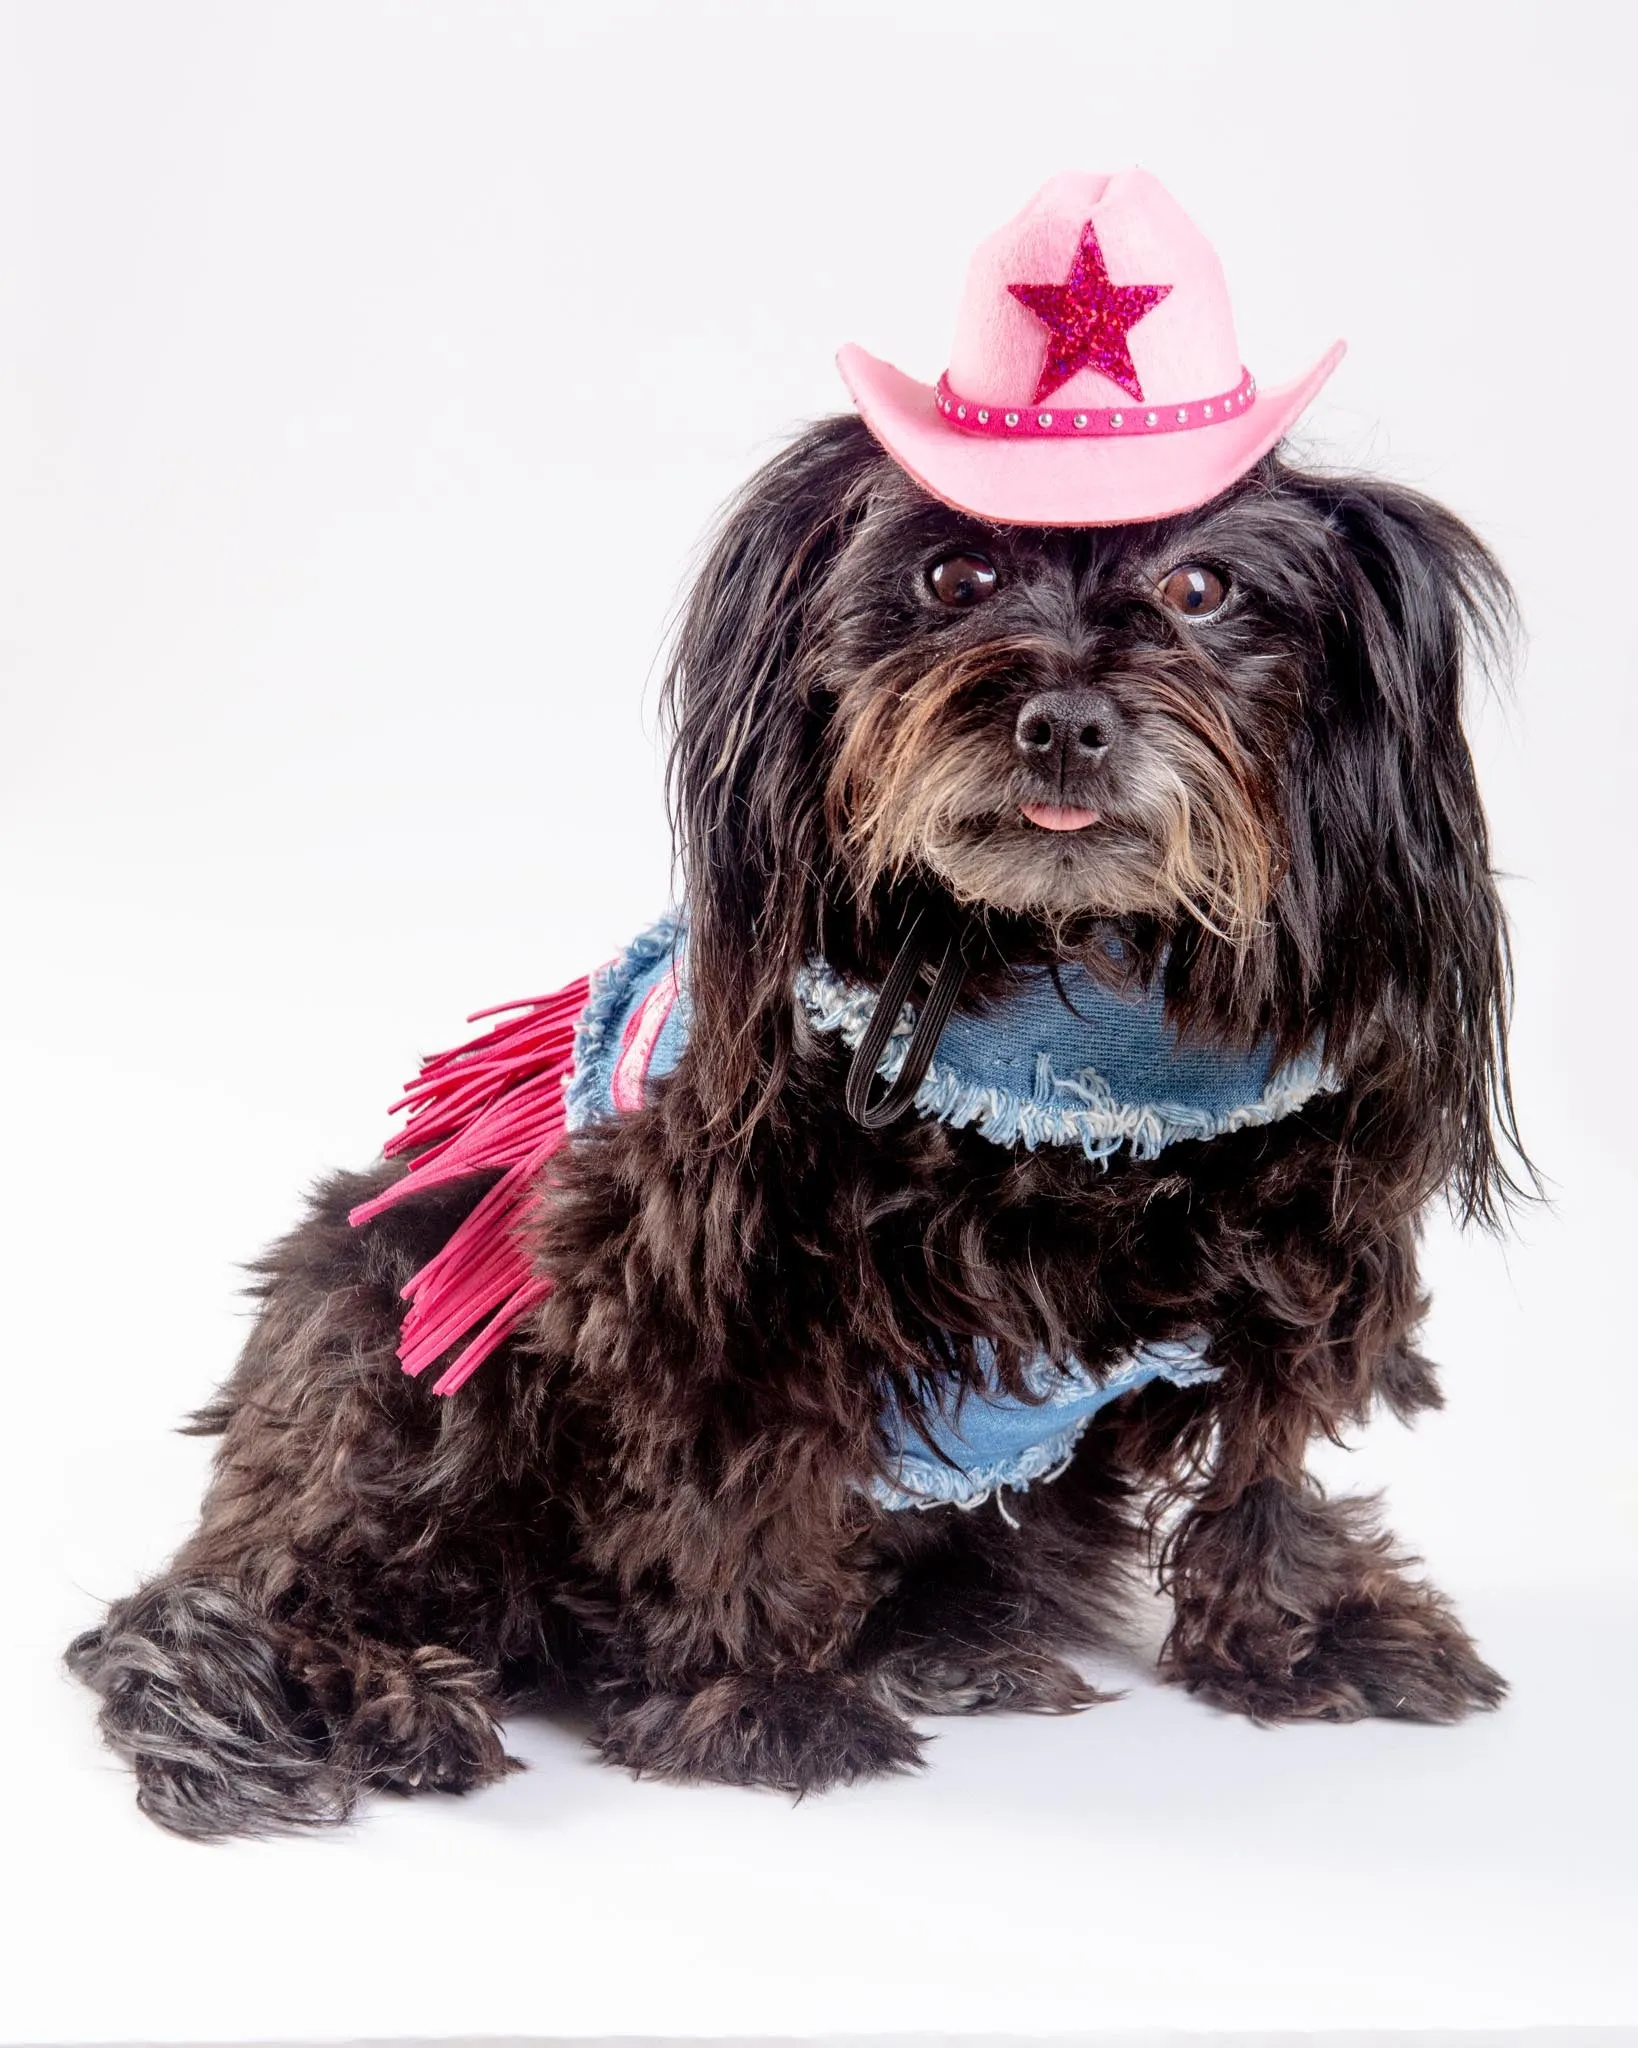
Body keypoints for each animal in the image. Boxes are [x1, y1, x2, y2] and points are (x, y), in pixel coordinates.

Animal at [63, 176, 1523, 1843]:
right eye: (952, 577)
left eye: (1204, 588)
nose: (1063, 720)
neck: (1060, 1000)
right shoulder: (703, 1264)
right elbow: (728, 1476)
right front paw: (749, 1693)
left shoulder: (1284, 1252)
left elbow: (1264, 1461)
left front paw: (1303, 1637)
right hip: (389, 1328)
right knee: (287, 1581)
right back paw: (386, 1691)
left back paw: (968, 1627)